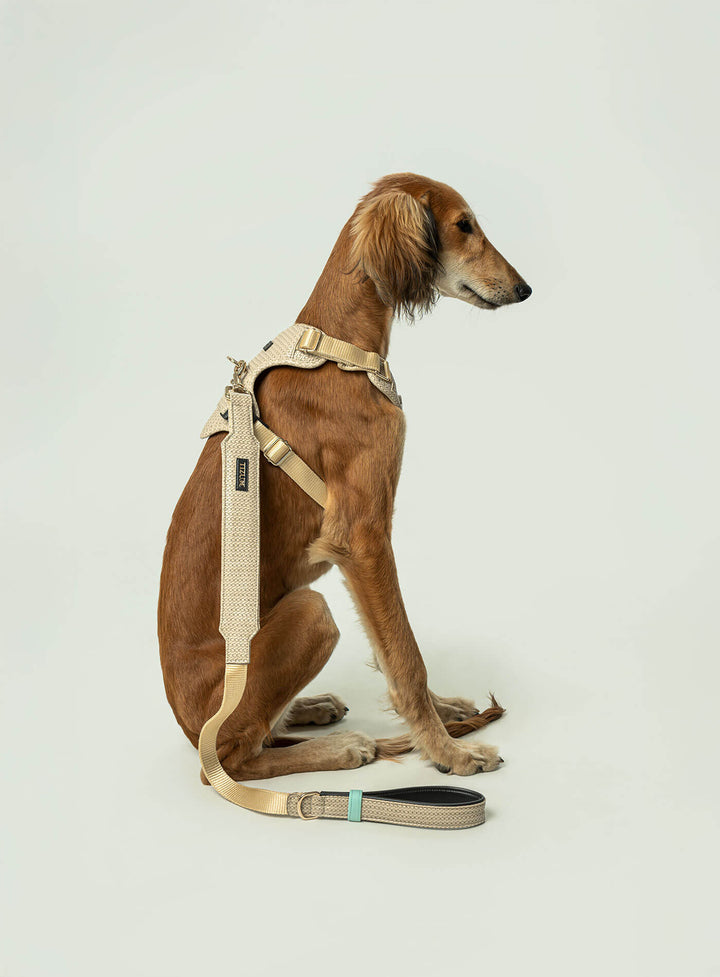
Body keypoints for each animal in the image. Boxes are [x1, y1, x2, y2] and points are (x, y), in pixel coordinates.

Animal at [158, 172, 531, 782]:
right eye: (464, 225)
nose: (525, 289)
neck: (337, 347)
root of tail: (191, 730)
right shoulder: (362, 536)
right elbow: (405, 654)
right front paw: (448, 752)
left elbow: (387, 646)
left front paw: (444, 717)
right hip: (312, 615)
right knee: (236, 761)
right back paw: (339, 749)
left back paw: (310, 708)